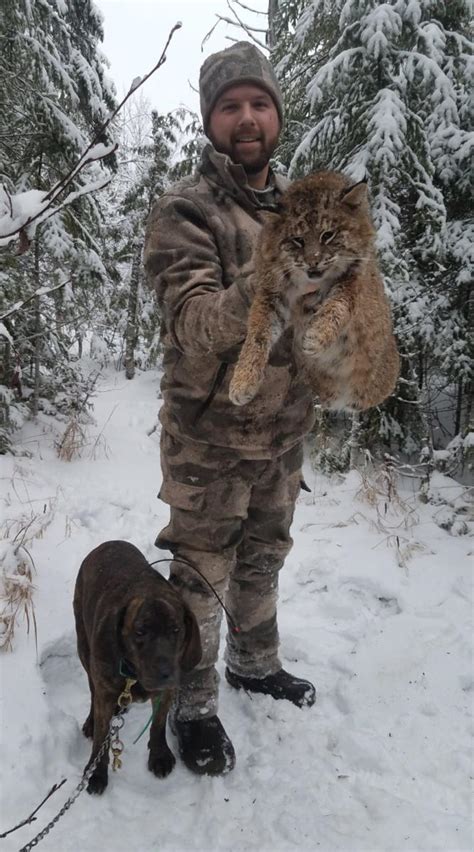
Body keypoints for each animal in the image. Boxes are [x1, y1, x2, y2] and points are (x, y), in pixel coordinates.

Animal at [74, 540, 202, 792]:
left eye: (176, 630)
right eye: (140, 631)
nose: (165, 673)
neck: (133, 675)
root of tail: (108, 543)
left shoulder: (165, 693)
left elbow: (158, 724)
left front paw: (159, 755)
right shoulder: (105, 691)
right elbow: (102, 735)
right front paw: (96, 772)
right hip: (84, 648)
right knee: (93, 691)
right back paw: (91, 721)